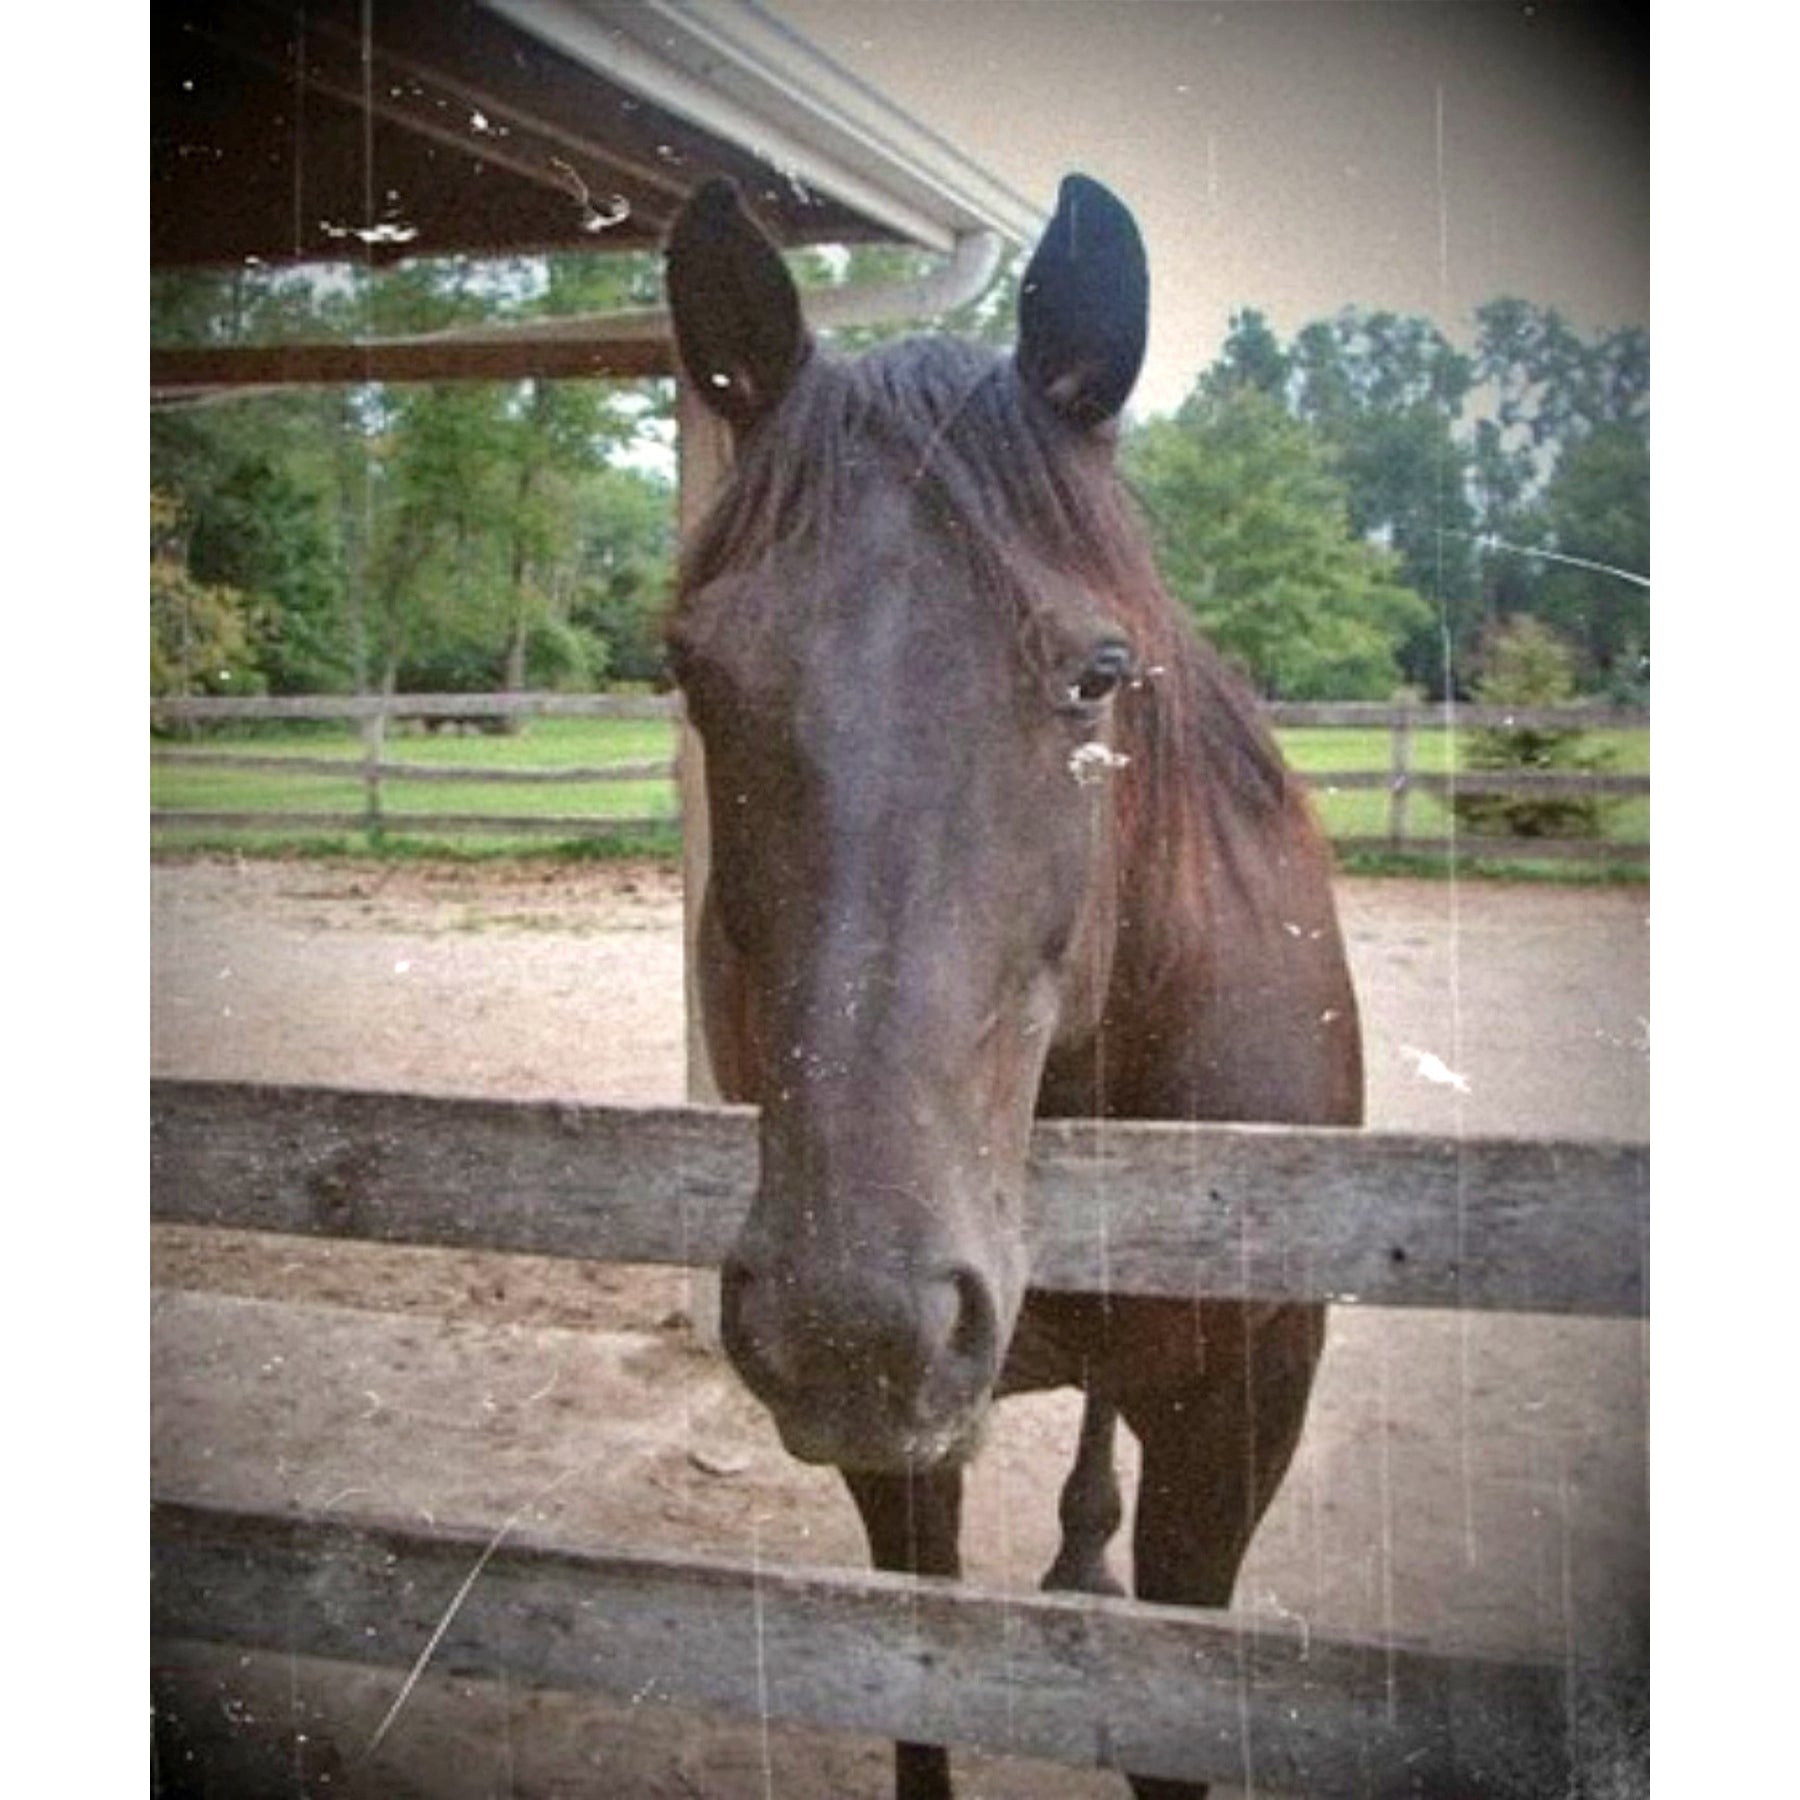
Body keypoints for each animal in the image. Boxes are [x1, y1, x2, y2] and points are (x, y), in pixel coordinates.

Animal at [662, 173, 1364, 1800]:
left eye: (1100, 674)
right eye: (694, 673)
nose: (852, 1316)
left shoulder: (1245, 1411)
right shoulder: (906, 1436)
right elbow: (925, 1681)